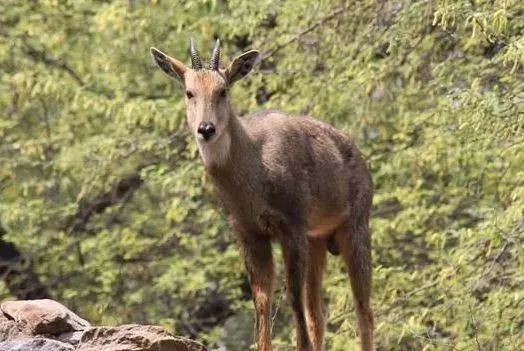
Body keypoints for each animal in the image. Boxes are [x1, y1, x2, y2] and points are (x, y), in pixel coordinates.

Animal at [149, 39, 374, 351]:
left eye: (223, 90)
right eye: (189, 92)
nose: (206, 129)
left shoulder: (291, 225)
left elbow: (292, 298)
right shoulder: (248, 232)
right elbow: (262, 301)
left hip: (356, 225)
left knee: (363, 310)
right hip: (317, 238)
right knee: (318, 312)